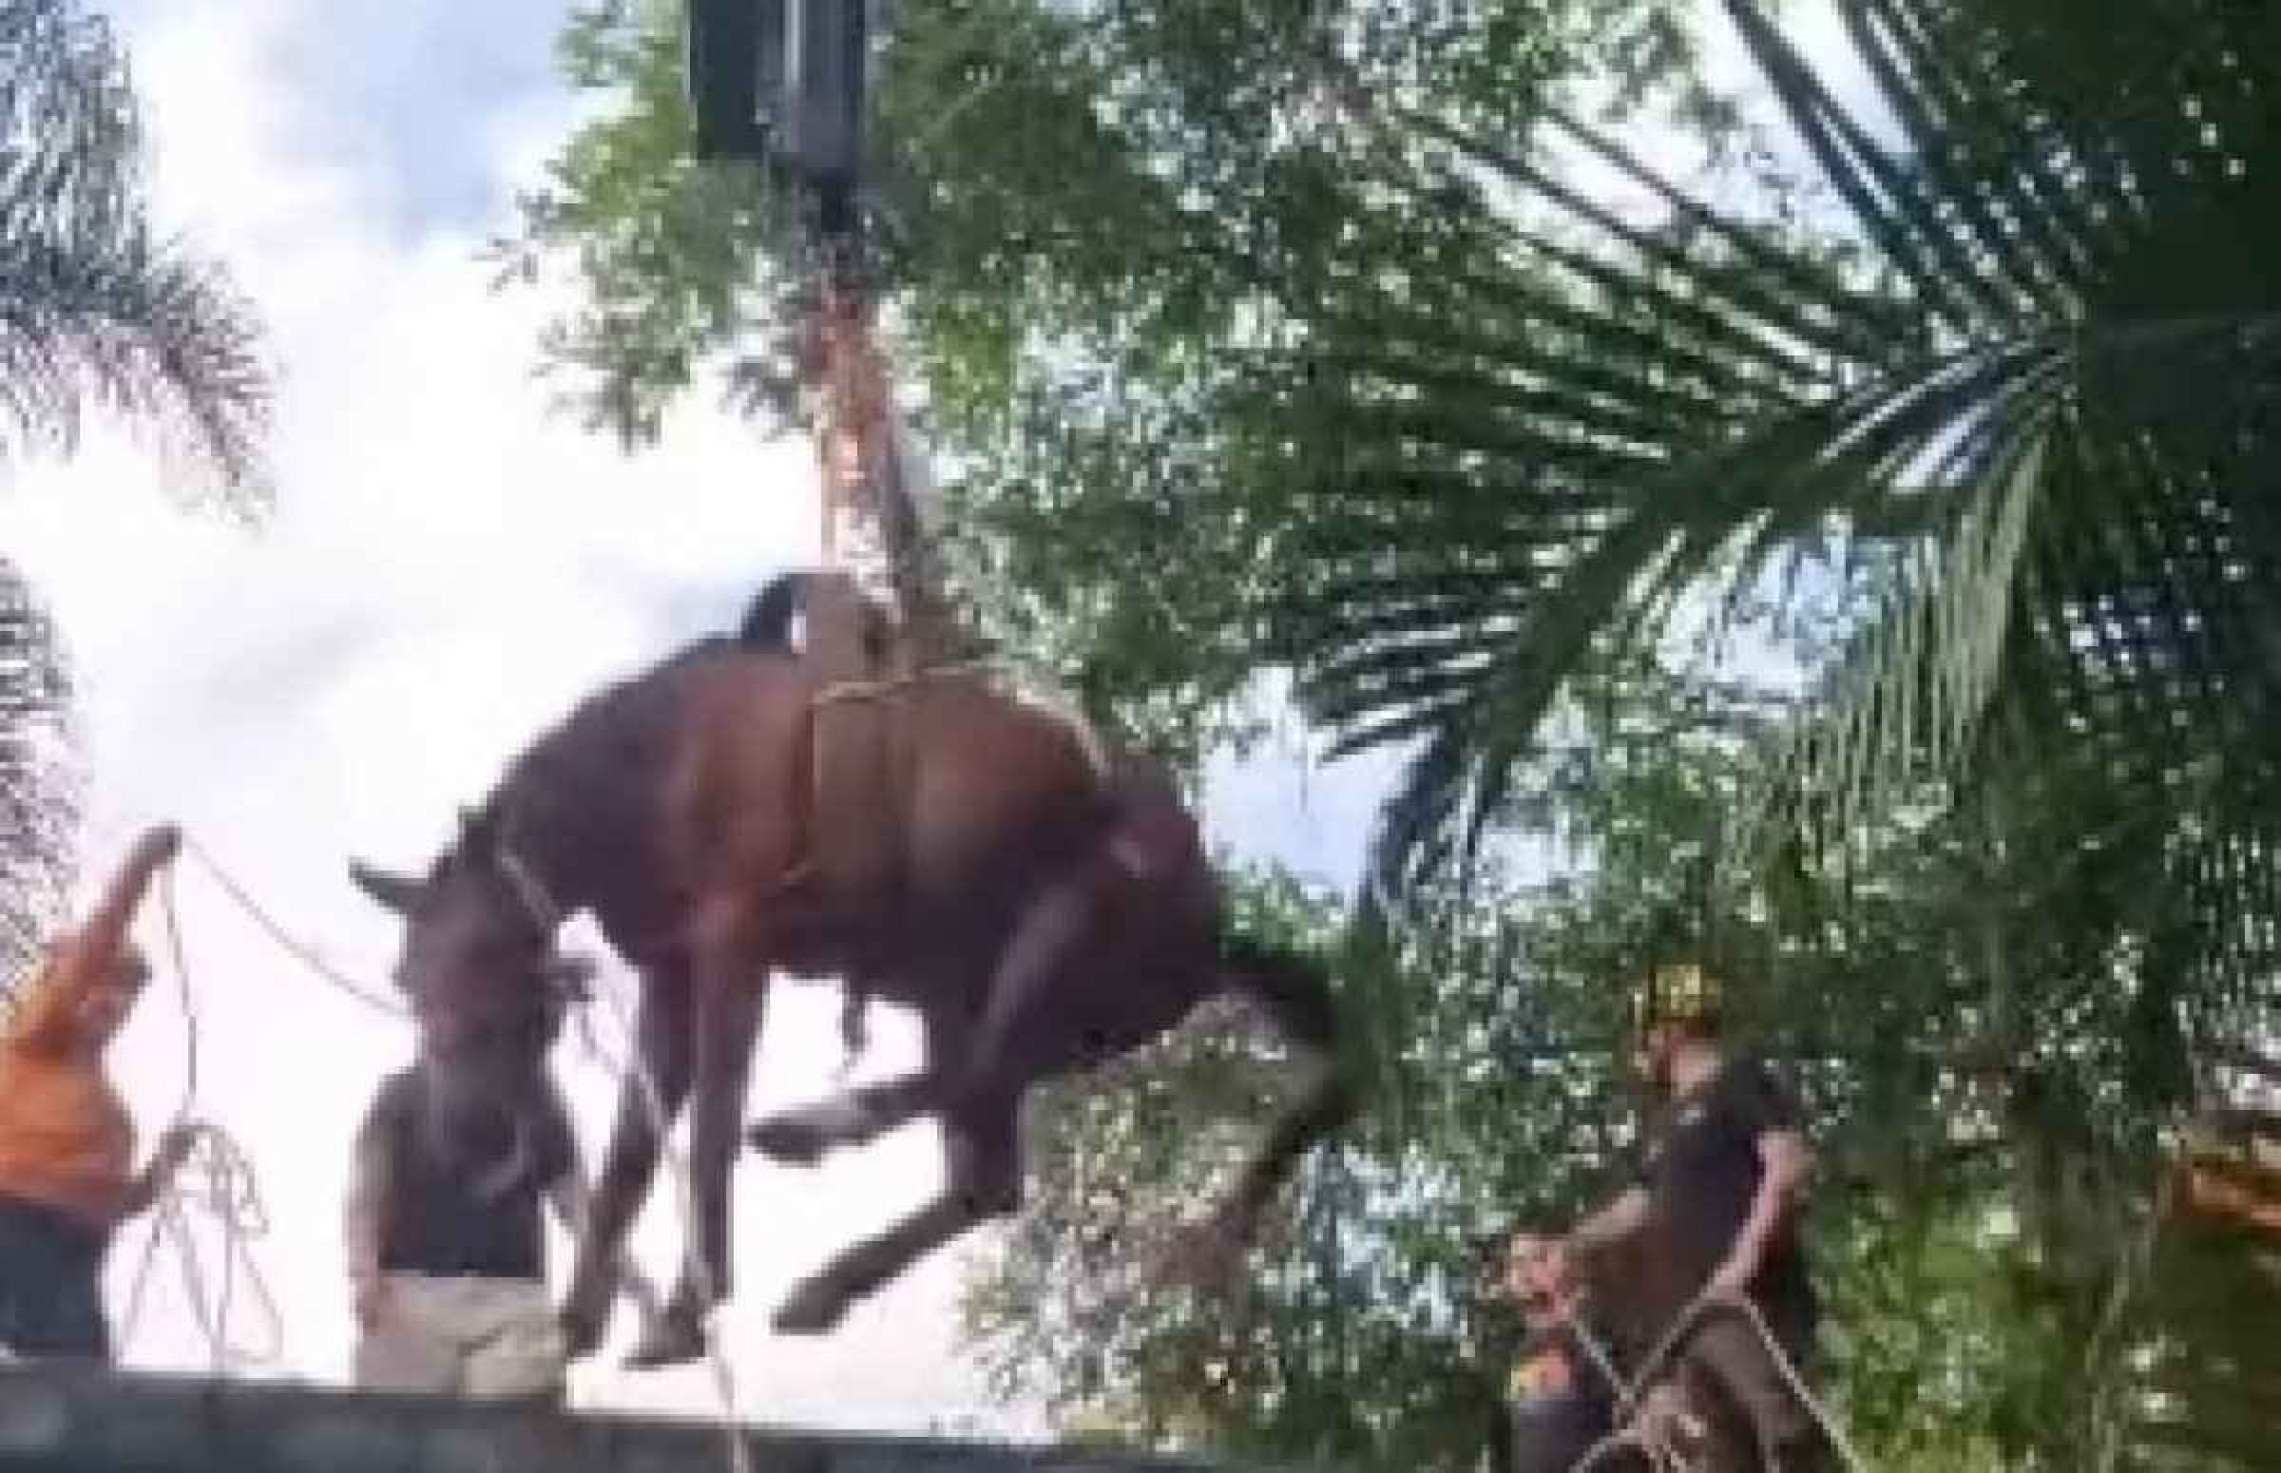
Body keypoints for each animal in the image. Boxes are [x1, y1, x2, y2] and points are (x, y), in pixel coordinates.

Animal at [344, 579, 1341, 1377]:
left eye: (481, 951)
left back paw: (812, 1128)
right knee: (987, 1168)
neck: (658, 762)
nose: (465, 1135)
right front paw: (578, 1322)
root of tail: (1213, 929)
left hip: (1065, 956)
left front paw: (686, 1312)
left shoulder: (736, 941)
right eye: (404, 976)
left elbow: (711, 1124)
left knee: (975, 1080)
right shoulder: (668, 972)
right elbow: (633, 1151)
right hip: (975, 994)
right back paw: (826, 1281)